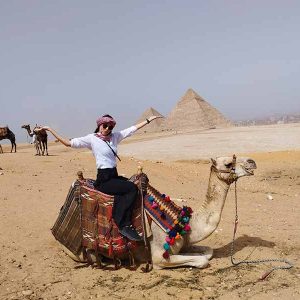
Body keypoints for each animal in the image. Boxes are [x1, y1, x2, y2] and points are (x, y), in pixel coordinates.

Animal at [63, 155, 255, 270]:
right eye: (229, 163)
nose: (252, 162)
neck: (185, 223)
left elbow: (208, 251)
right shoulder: (158, 256)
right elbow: (202, 260)